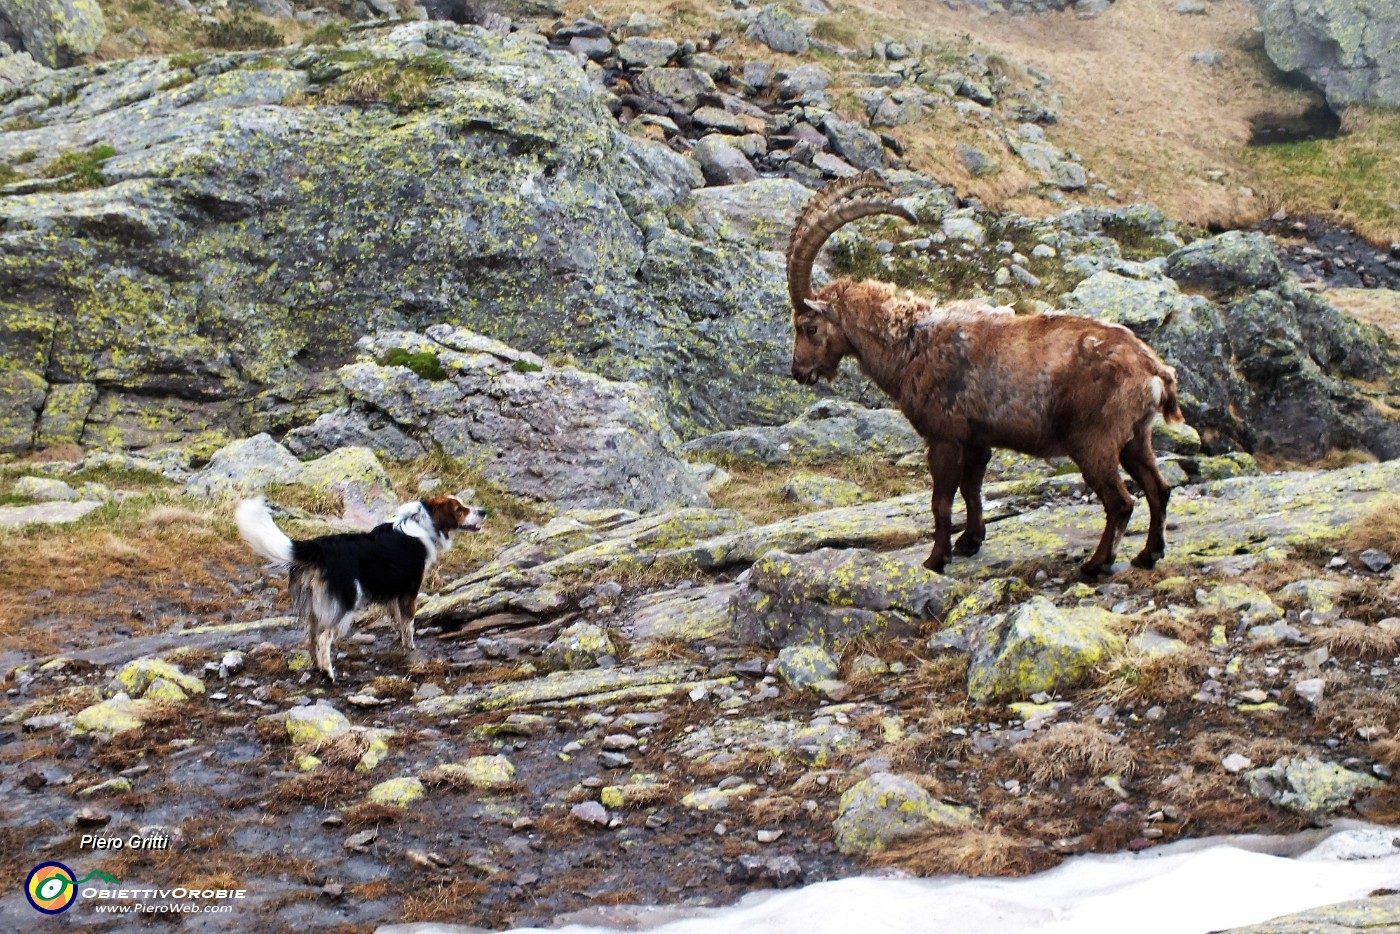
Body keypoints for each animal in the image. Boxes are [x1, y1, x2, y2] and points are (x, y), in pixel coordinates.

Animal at [236, 492, 487, 683]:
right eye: (460, 509)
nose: (483, 511)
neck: (422, 524)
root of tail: (319, 547)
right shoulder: (409, 591)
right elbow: (408, 624)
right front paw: (411, 649)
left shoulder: (394, 592)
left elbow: (398, 620)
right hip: (345, 603)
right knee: (324, 638)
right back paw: (329, 673)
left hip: (314, 606)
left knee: (311, 637)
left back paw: (317, 667)